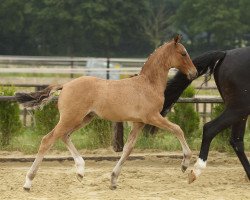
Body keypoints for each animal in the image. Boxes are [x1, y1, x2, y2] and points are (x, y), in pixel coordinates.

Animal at [16, 34, 197, 191]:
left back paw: (80, 171)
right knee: (48, 139)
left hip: (83, 119)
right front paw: (185, 163)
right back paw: (28, 182)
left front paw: (113, 180)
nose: (194, 73)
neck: (148, 84)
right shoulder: (152, 117)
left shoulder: (138, 122)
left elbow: (128, 149)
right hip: (71, 118)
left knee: (64, 136)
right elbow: (177, 129)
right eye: (183, 53)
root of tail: (65, 85)